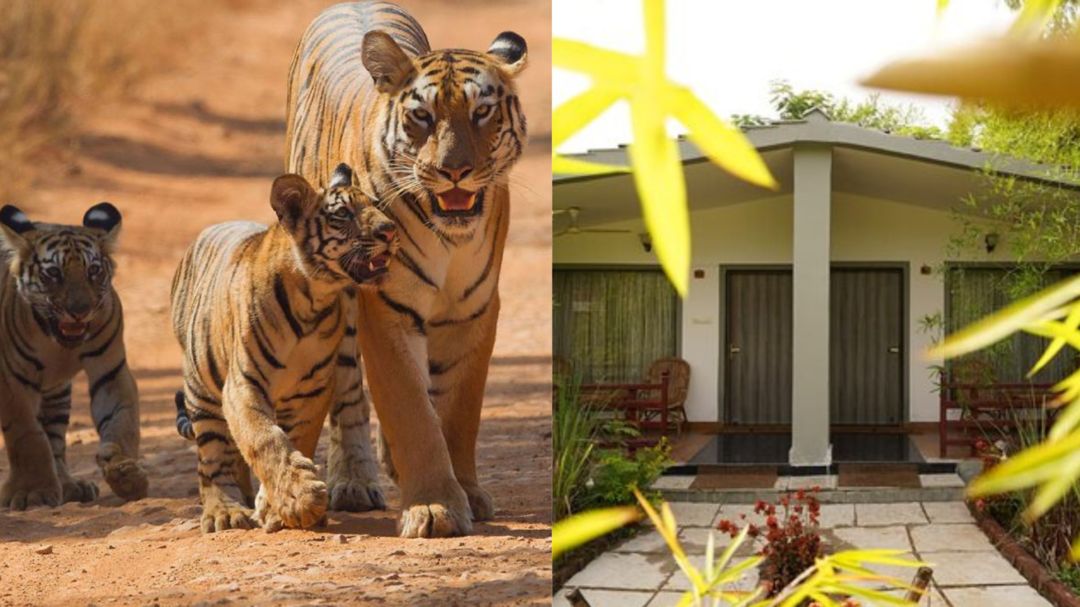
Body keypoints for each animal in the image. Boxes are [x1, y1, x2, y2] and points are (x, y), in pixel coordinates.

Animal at [0, 203, 147, 510]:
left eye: (93, 270)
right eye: (53, 273)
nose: (80, 310)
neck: (58, 344)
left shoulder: (111, 370)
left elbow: (122, 421)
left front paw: (125, 473)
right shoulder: (12, 380)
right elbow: (27, 435)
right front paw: (32, 493)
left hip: (57, 393)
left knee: (55, 438)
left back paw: (69, 486)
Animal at [170, 164, 398, 533]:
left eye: (376, 206)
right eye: (343, 215)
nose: (390, 230)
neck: (313, 298)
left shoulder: (313, 389)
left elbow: (297, 437)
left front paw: (278, 507)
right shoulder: (243, 385)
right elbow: (264, 439)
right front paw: (301, 498)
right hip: (201, 392)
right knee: (213, 457)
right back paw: (225, 511)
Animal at [285, 1, 527, 538]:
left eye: (482, 112)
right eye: (422, 116)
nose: (454, 171)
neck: (450, 238)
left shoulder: (474, 309)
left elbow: (457, 412)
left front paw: (466, 492)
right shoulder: (386, 306)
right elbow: (411, 411)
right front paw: (434, 507)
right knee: (349, 392)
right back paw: (355, 481)